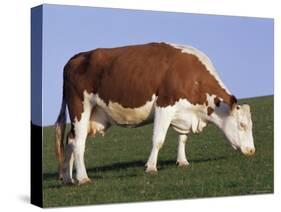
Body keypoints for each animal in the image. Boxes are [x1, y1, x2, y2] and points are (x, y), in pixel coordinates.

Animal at [54, 42, 254, 185]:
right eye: (242, 125)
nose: (252, 151)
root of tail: (77, 57)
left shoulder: (183, 112)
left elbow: (183, 138)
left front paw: (182, 161)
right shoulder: (164, 105)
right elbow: (158, 139)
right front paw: (151, 167)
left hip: (93, 115)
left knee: (70, 140)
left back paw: (68, 178)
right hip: (80, 108)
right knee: (79, 143)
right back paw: (82, 178)